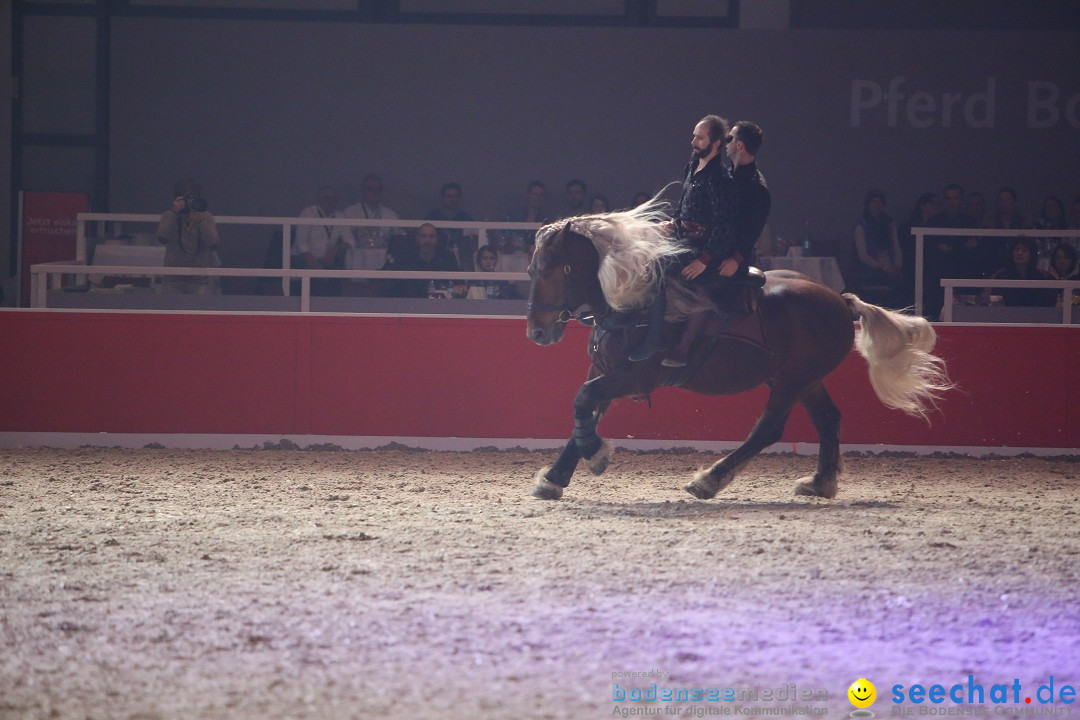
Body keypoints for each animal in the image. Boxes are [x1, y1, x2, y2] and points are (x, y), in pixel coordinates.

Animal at [527, 208, 950, 500]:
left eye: (552, 270)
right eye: (532, 270)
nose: (538, 332)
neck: (630, 302)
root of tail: (841, 301)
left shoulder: (632, 376)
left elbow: (583, 401)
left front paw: (595, 456)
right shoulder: (604, 370)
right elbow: (584, 411)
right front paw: (555, 477)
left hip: (792, 380)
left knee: (768, 428)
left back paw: (709, 480)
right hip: (805, 379)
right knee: (829, 419)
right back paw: (820, 482)